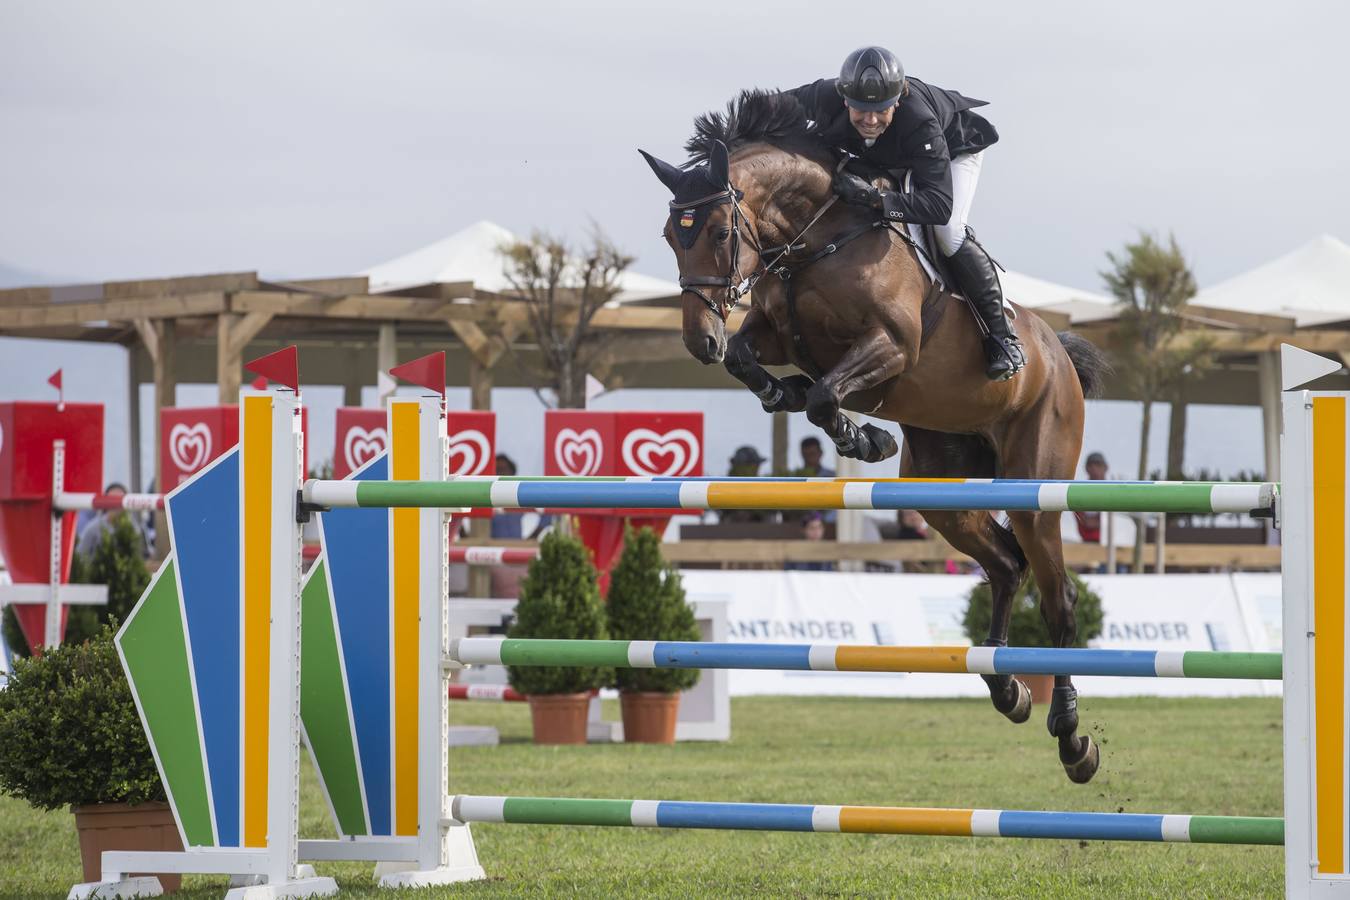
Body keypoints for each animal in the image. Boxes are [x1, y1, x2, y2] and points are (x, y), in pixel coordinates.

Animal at [637, 87, 1112, 782]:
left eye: (721, 233)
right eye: (673, 234)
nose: (700, 340)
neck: (819, 239)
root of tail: (1059, 355)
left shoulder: (891, 345)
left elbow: (828, 394)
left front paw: (861, 438)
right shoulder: (778, 334)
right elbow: (753, 363)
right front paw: (792, 398)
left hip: (1037, 486)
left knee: (1059, 597)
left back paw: (1072, 738)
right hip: (939, 488)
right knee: (1005, 565)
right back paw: (1008, 689)